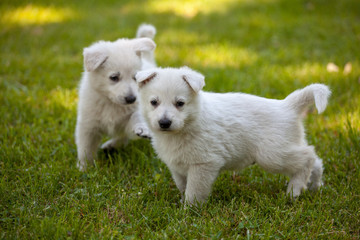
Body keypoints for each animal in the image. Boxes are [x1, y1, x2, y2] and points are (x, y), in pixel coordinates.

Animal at [76, 23, 158, 171]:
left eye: (135, 77)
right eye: (114, 77)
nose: (131, 99)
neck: (111, 103)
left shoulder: (134, 112)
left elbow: (135, 117)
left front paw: (142, 128)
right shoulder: (88, 124)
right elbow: (85, 148)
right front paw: (84, 168)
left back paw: (112, 145)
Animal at [136, 66, 332, 205]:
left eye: (180, 103)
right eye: (154, 102)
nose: (164, 123)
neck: (188, 124)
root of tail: (288, 106)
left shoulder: (204, 164)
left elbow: (194, 190)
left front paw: (189, 211)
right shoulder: (177, 166)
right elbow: (183, 185)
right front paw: (182, 203)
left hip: (273, 155)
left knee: (308, 157)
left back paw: (294, 190)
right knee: (315, 161)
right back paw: (314, 186)